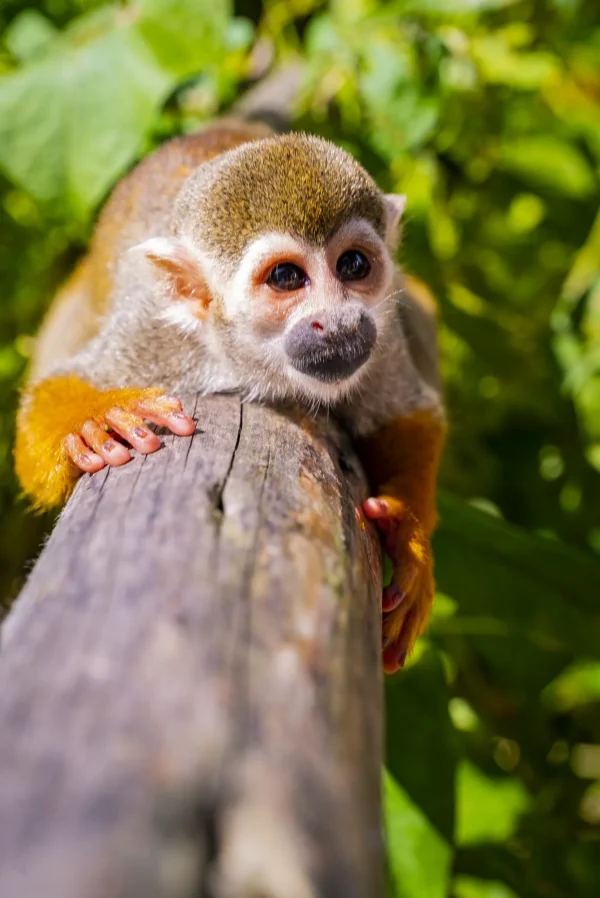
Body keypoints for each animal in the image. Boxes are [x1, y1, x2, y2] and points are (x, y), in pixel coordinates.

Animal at [14, 117, 445, 673]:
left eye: (353, 265)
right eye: (286, 277)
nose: (338, 322)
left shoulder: (383, 334)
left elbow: (410, 413)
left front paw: (409, 536)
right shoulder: (158, 334)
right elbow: (53, 396)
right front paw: (96, 421)